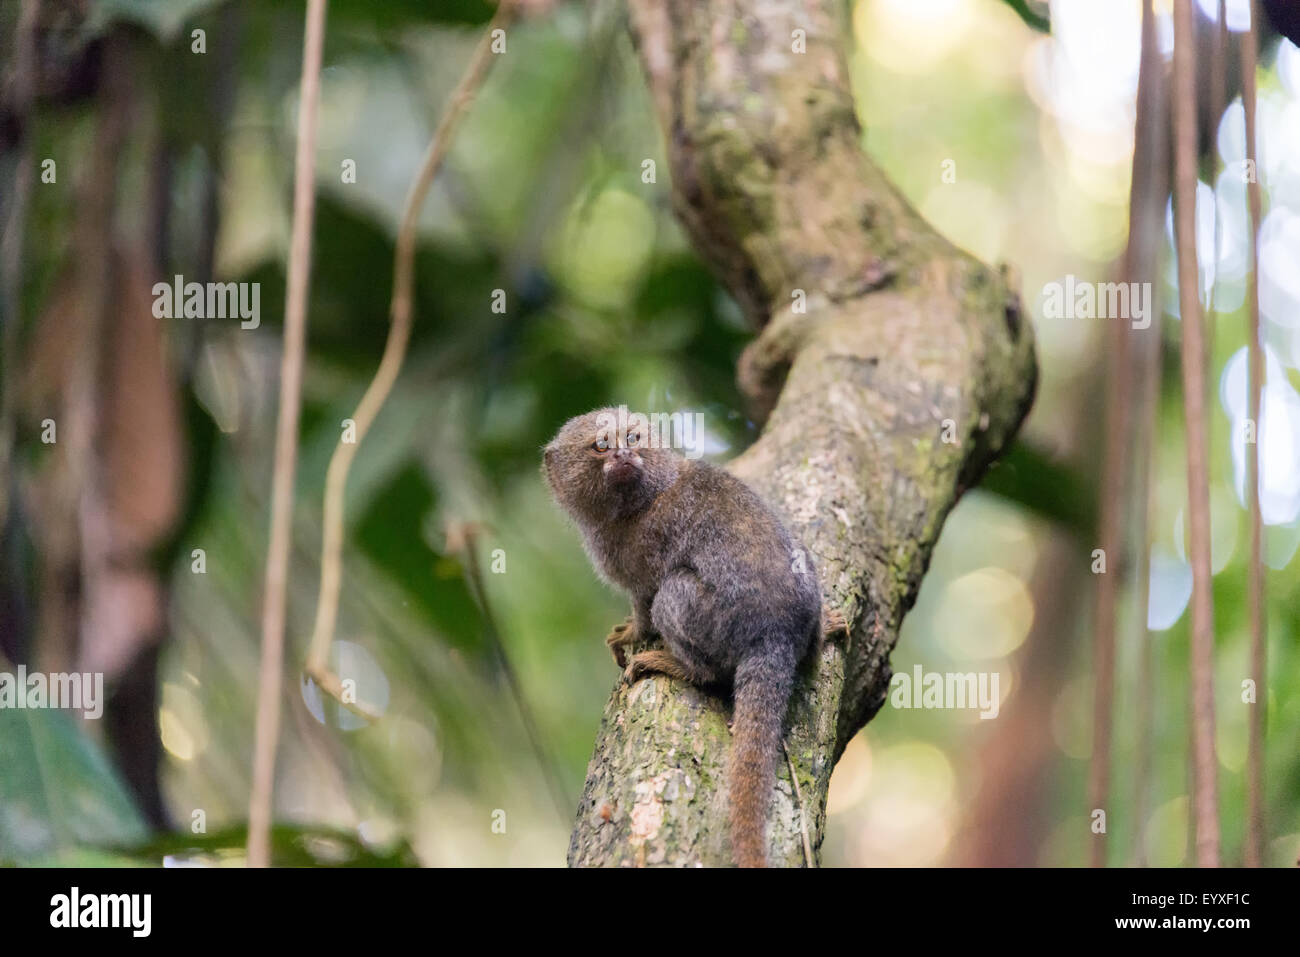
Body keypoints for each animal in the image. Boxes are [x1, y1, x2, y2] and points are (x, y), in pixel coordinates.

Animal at [540, 405, 826, 868]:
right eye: (601, 446)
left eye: (631, 438)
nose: (622, 455)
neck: (638, 502)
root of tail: (776, 631)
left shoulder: (638, 557)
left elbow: (645, 602)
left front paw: (630, 635)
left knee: (677, 604)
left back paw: (674, 664)